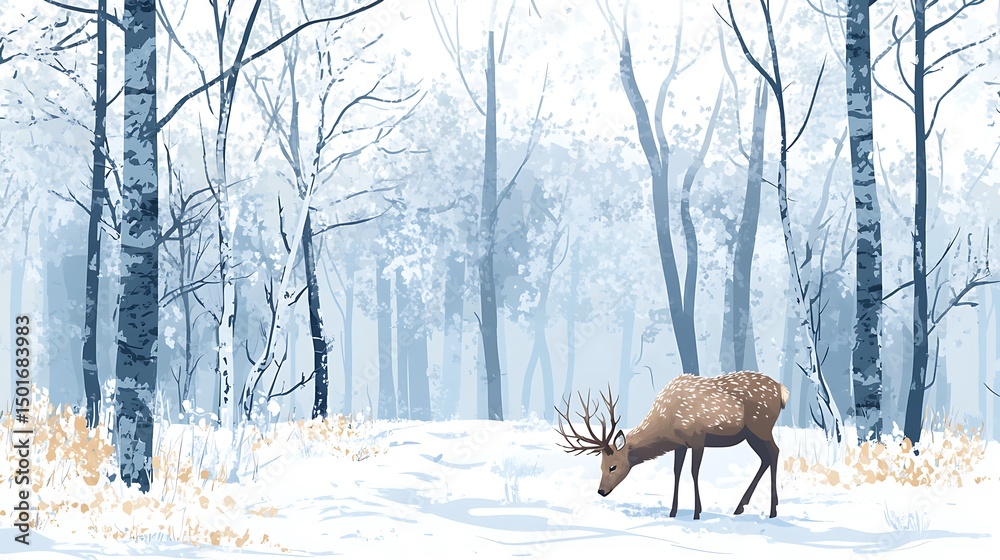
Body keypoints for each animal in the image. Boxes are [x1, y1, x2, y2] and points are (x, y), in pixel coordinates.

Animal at [555, 371, 789, 519]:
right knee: (766, 458)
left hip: (761, 426)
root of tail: (782, 391)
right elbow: (677, 472)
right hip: (751, 434)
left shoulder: (698, 437)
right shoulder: (680, 444)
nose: (601, 491)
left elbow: (694, 472)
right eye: (600, 466)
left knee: (775, 452)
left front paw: (696, 512)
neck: (666, 426)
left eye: (613, 466)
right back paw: (741, 506)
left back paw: (772, 510)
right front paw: (673, 511)